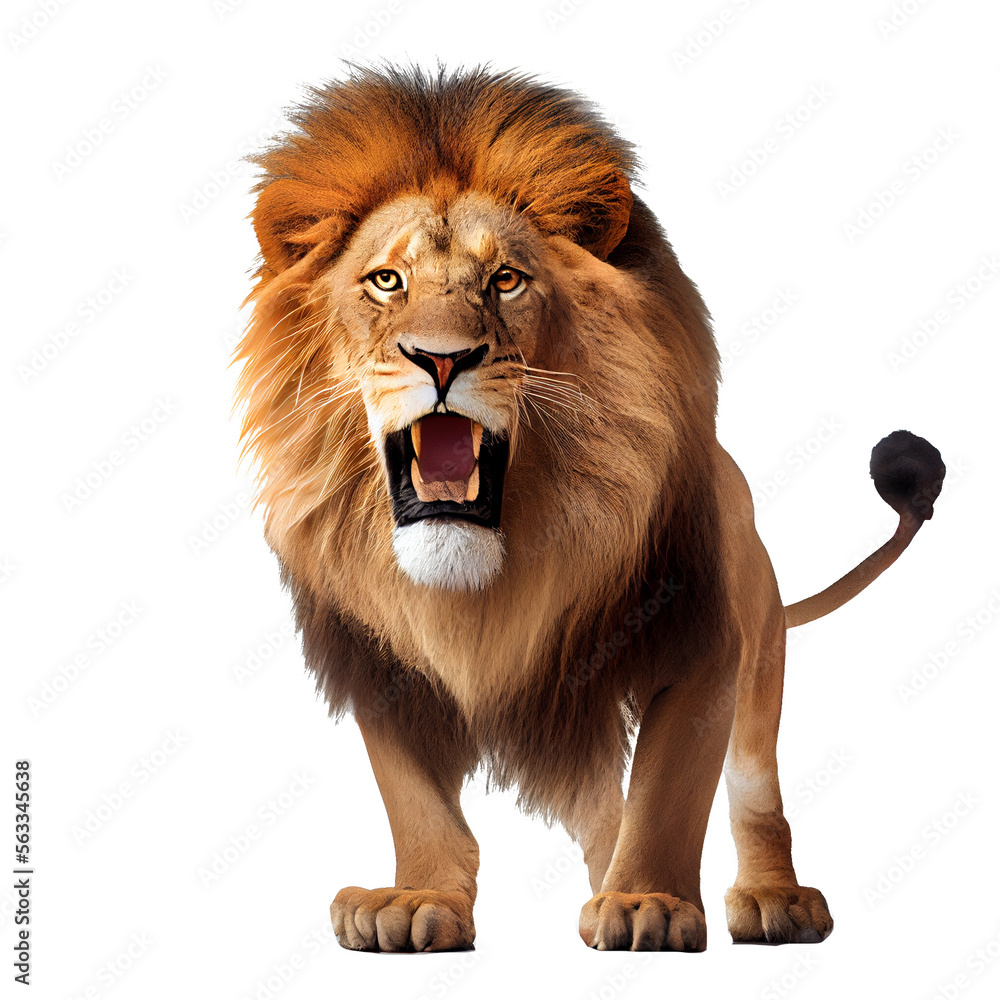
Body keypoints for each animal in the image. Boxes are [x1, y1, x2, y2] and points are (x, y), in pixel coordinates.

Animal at [235, 65, 946, 952]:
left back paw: (771, 898)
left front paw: (647, 902)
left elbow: (671, 789)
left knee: (754, 793)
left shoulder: (700, 640)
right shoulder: (378, 661)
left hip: (759, 653)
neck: (491, 580)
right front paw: (418, 897)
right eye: (386, 281)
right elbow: (415, 799)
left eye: (506, 279)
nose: (441, 358)